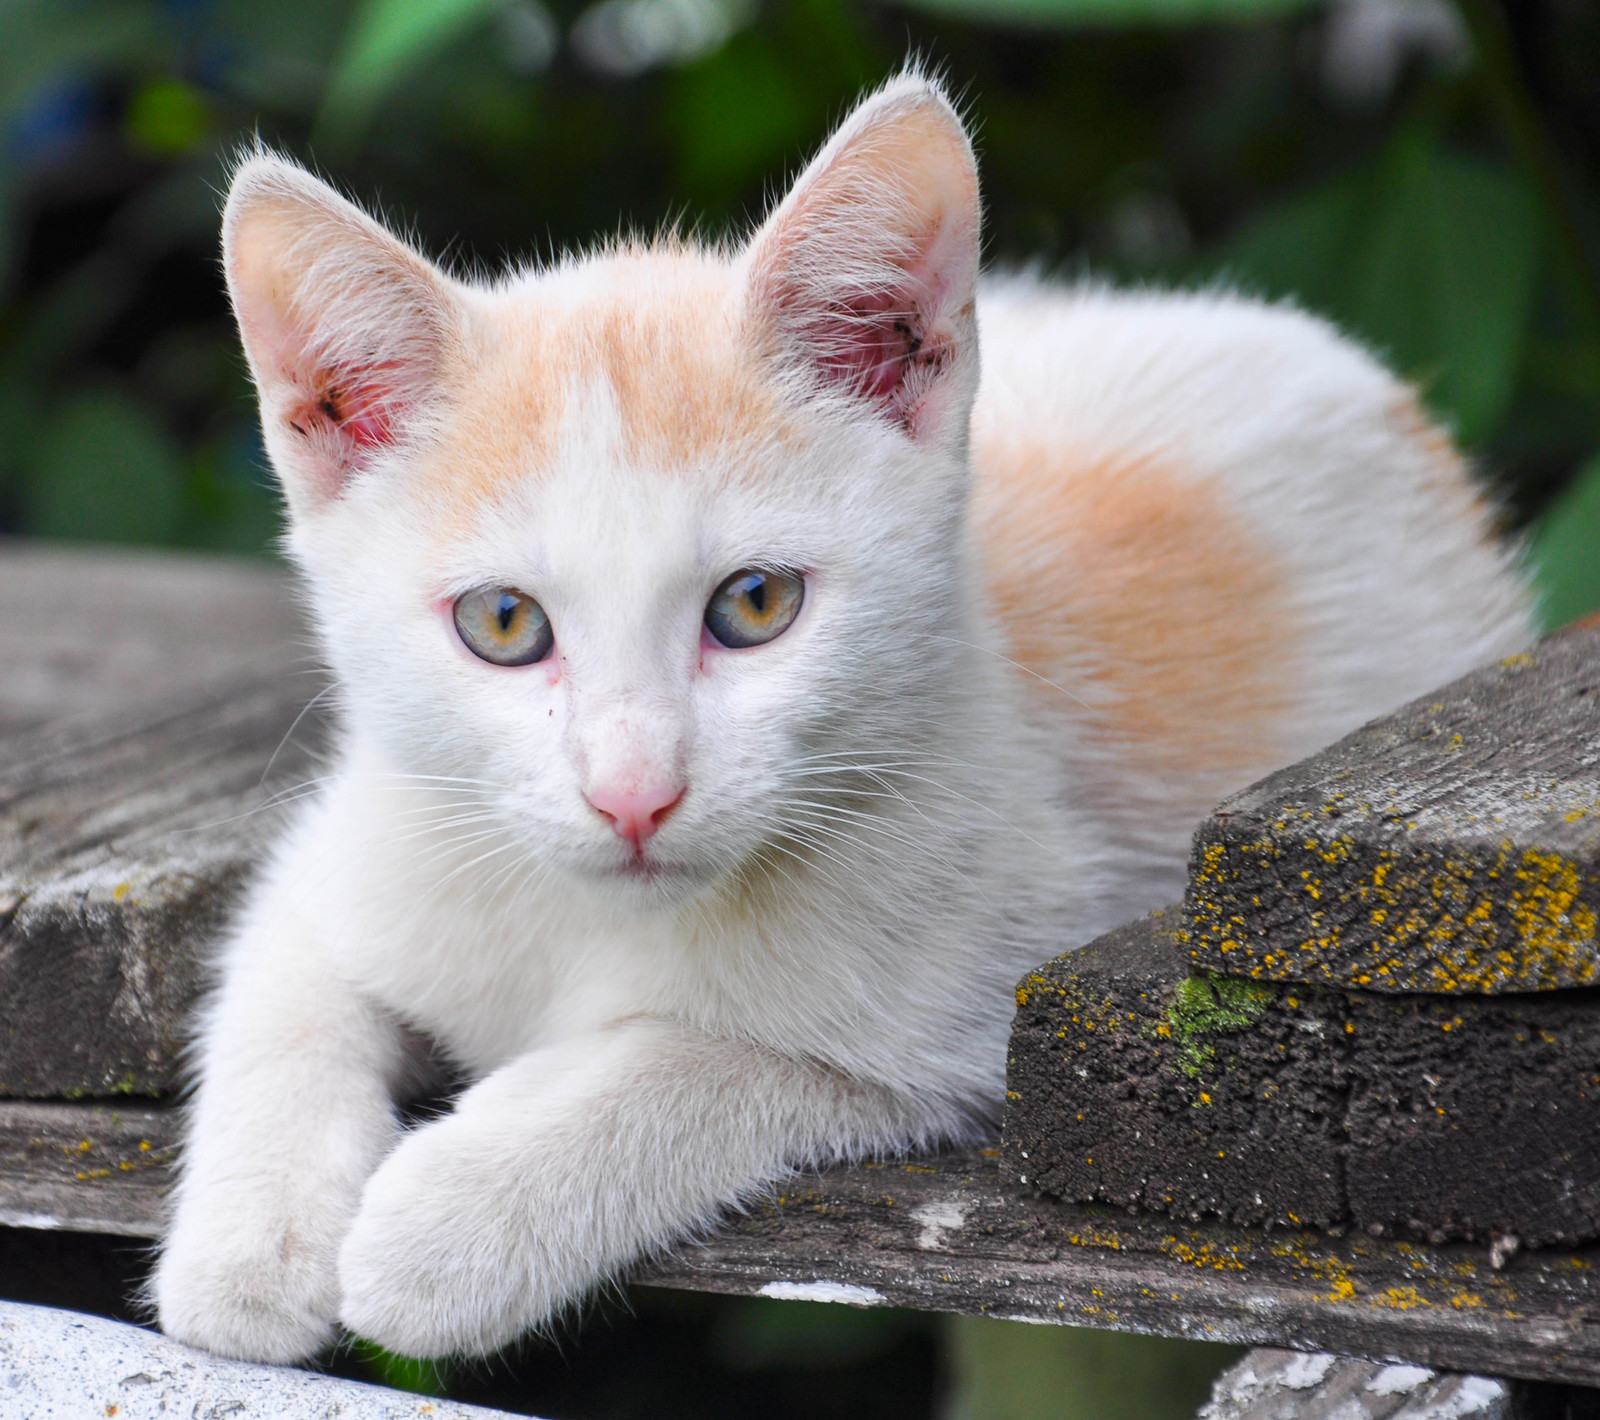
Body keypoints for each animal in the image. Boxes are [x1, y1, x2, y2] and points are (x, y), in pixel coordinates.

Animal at [152, 77, 1536, 1362]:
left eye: (754, 604)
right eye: (503, 623)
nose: (632, 794)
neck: (589, 921)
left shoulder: (979, 1011)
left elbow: (708, 1061)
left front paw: (450, 1219)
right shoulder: (362, 837)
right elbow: (279, 986)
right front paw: (249, 1251)